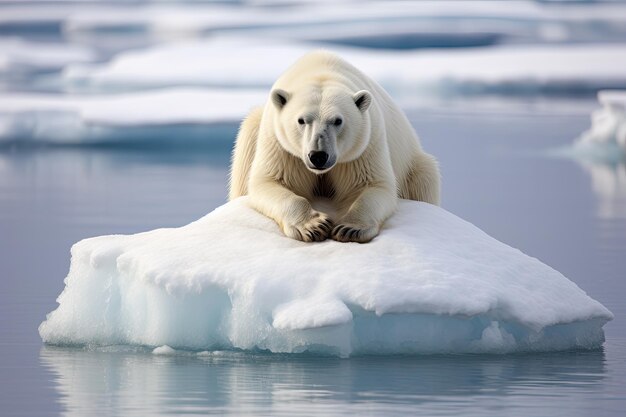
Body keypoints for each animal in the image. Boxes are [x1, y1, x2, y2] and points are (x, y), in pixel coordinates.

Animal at [227, 50, 436, 242]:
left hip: (415, 167)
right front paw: (314, 225)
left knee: (425, 179)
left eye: (337, 121)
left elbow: (374, 185)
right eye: (301, 120)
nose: (318, 156)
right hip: (251, 132)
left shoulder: (365, 145)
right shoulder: (280, 144)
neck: (321, 70)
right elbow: (269, 182)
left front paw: (349, 228)